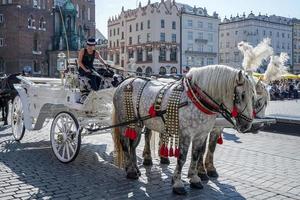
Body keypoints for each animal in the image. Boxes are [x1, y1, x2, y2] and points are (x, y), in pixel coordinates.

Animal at [112, 65, 255, 194]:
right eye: (242, 95)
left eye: (253, 95)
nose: (247, 125)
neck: (196, 99)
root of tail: (124, 82)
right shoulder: (186, 134)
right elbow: (182, 157)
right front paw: (178, 183)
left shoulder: (201, 134)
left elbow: (196, 155)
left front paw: (195, 178)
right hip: (126, 122)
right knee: (125, 144)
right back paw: (131, 171)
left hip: (138, 123)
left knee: (133, 145)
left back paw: (135, 168)